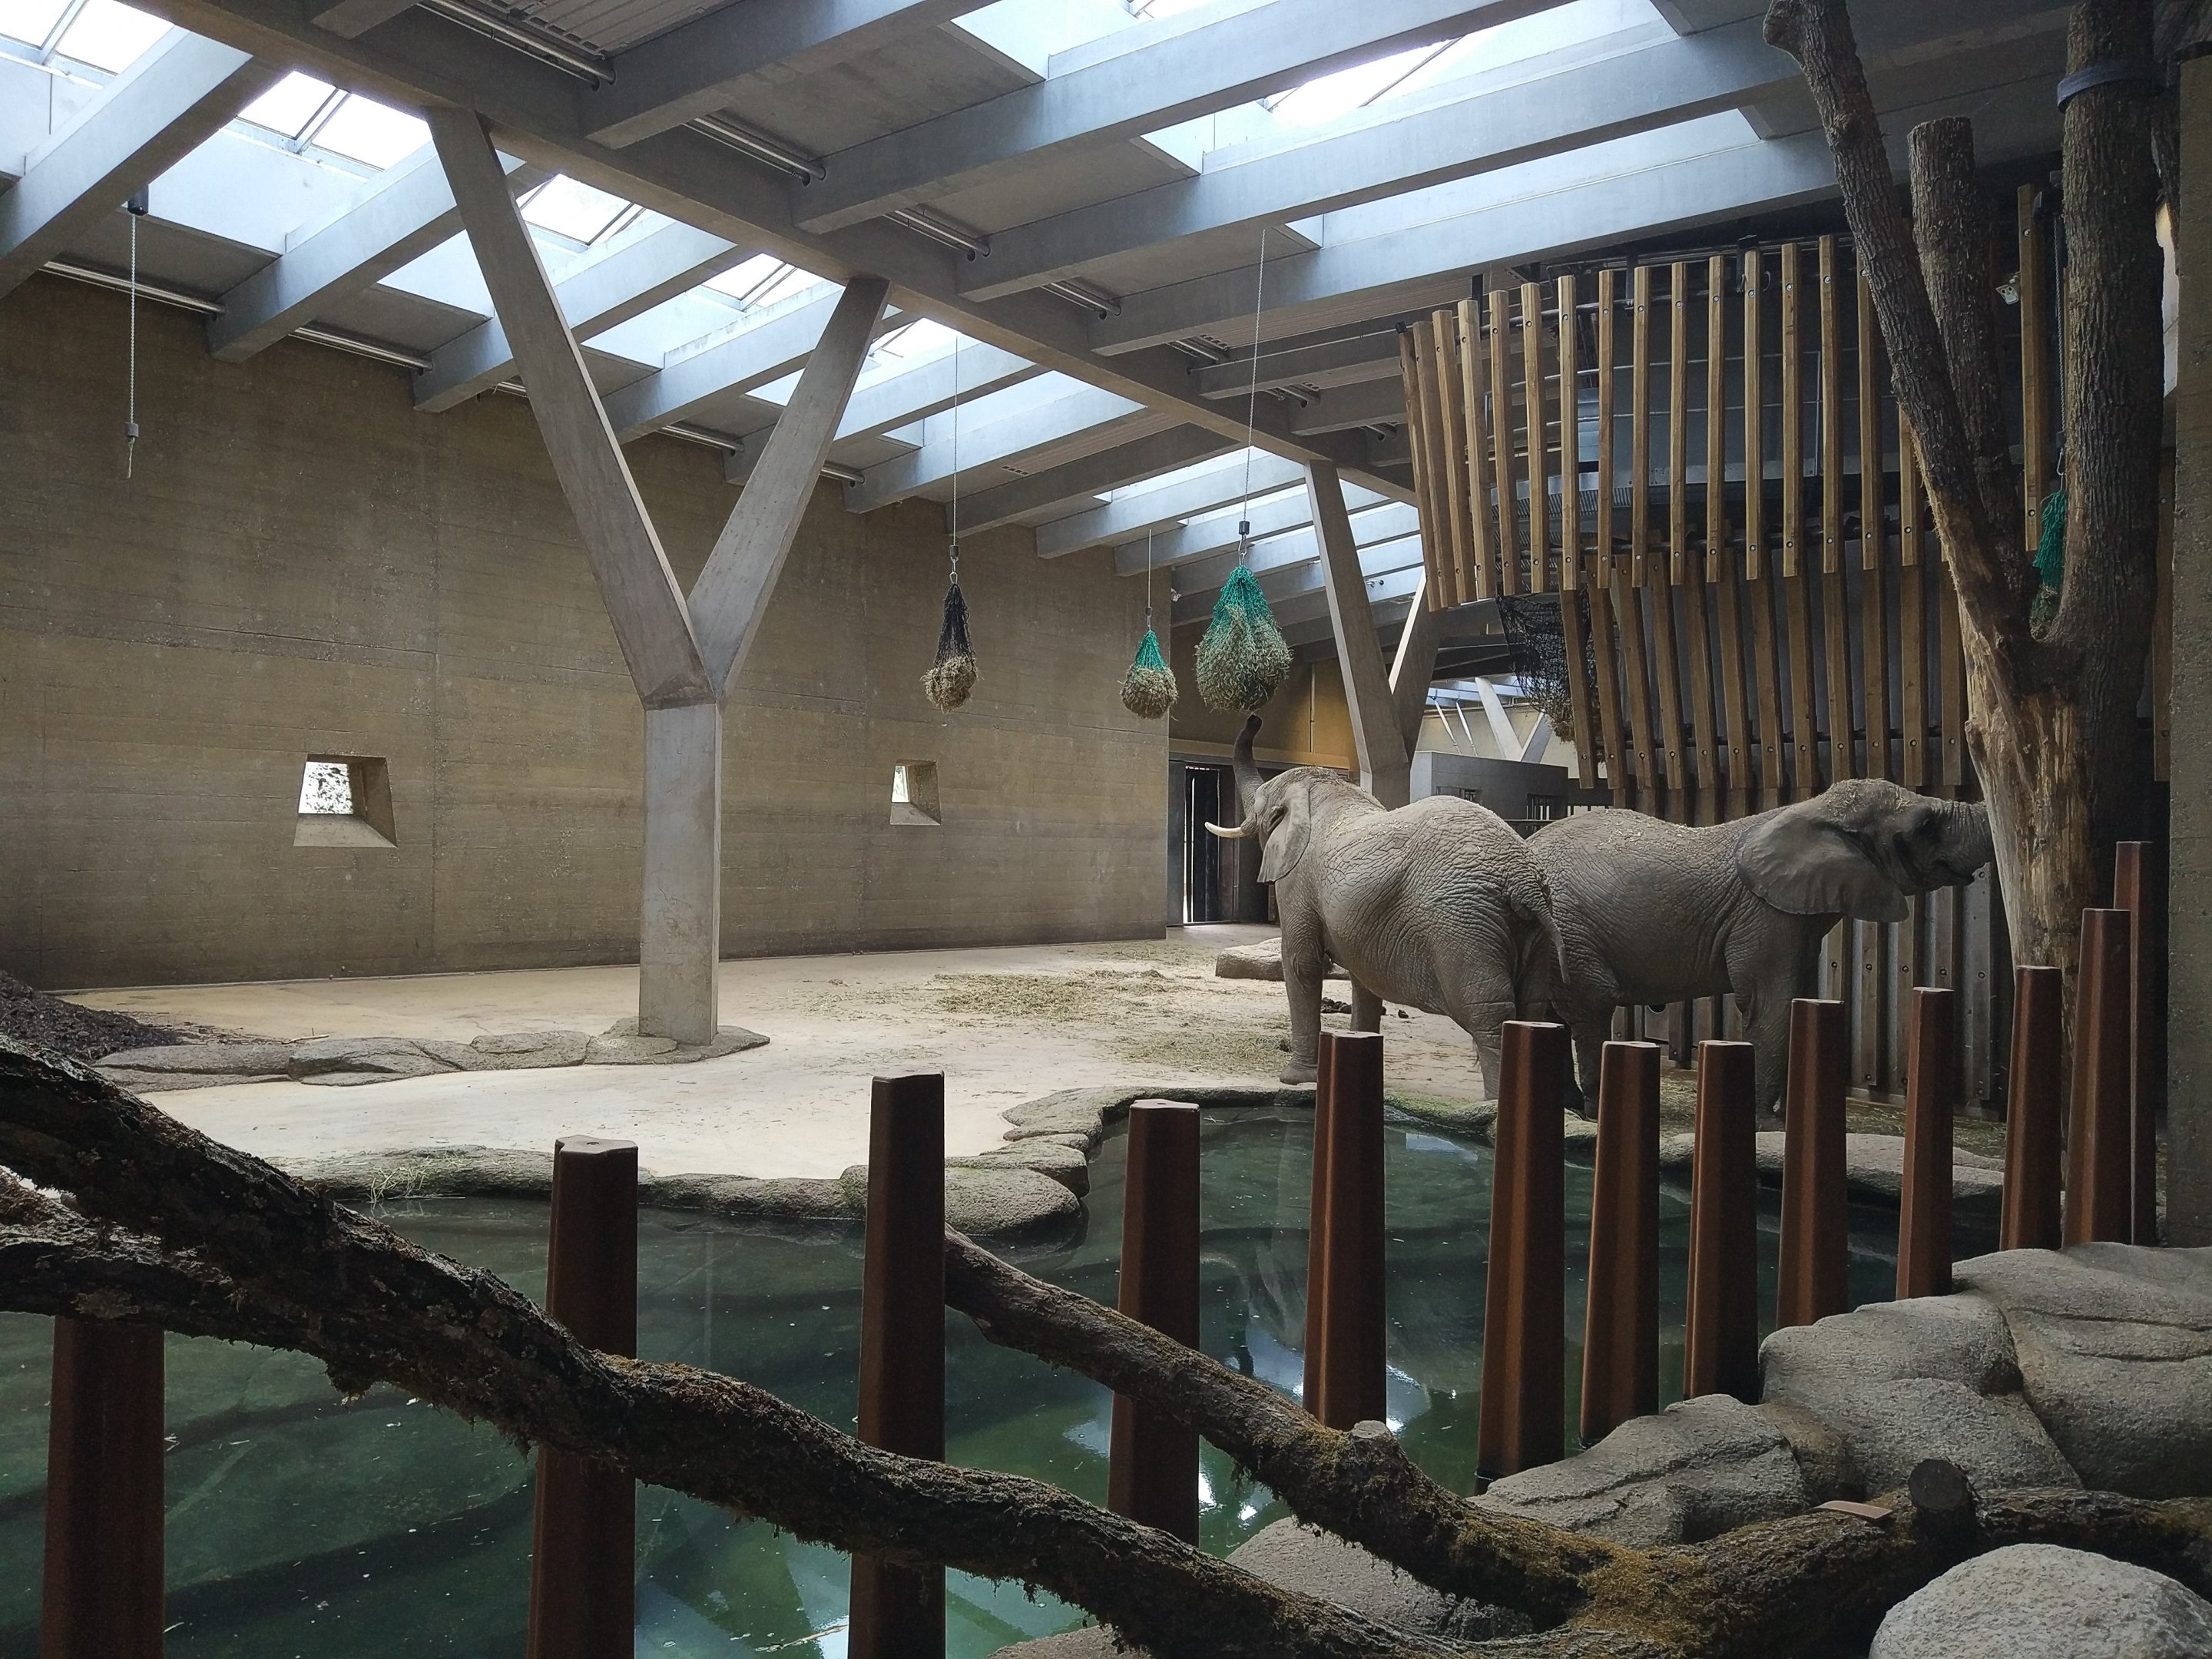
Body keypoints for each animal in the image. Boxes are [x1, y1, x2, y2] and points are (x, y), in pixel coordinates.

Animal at [1205, 715, 1563, 1098]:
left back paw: (1493, 1104)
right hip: (1531, 931)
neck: (1323, 787)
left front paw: (1294, 1079)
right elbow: (1363, 977)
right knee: (1530, 1008)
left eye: (1261, 809)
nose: (1255, 718)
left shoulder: (1298, 882)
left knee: (1488, 1013)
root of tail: (1523, 881)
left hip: (1464, 926)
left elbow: (1302, 964)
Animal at [1526, 780, 1994, 1117]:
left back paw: (1570, 1106)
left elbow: (1798, 1002)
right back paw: (1591, 1111)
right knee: (1591, 1006)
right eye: (1926, 825)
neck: (1813, 808)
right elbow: (1771, 1004)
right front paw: (1766, 1123)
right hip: (1570, 928)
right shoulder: (1766, 915)